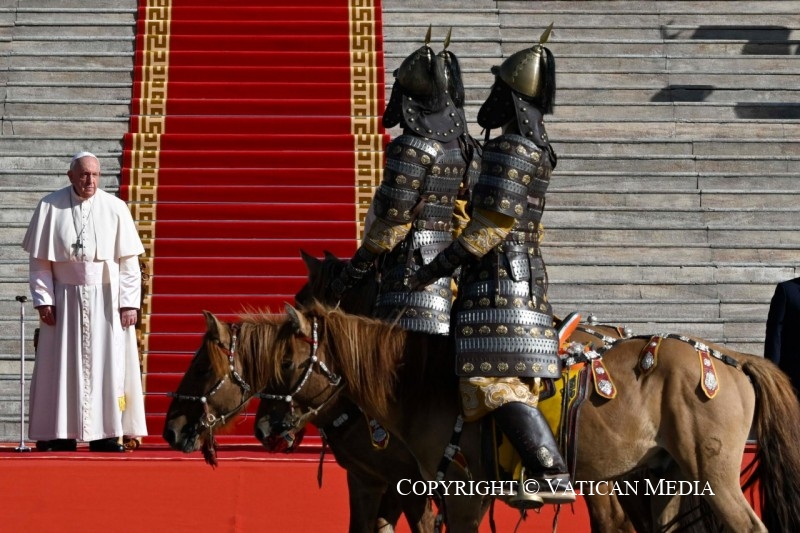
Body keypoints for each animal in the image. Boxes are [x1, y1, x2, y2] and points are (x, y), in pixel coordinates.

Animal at [253, 300, 800, 532]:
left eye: (288, 363)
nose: (265, 426)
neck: (424, 384)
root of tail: (728, 357)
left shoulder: (461, 495)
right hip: (668, 478)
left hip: (714, 475)